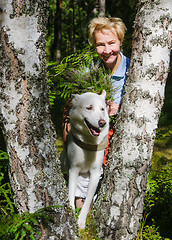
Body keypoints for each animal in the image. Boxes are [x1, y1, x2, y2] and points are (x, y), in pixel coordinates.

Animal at [62, 90, 109, 229]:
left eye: (102, 109)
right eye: (89, 107)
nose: (102, 122)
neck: (89, 143)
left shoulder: (95, 174)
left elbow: (88, 201)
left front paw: (81, 221)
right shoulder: (74, 170)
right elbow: (71, 195)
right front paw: (72, 215)